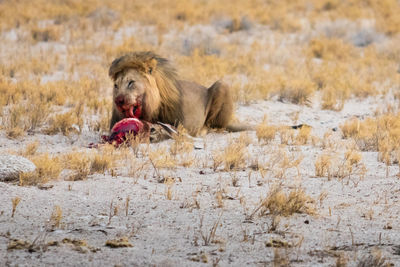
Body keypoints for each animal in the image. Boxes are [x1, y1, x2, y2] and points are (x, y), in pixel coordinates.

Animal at [108, 51, 250, 137]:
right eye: (116, 86)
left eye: (131, 83)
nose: (119, 100)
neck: (149, 109)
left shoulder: (178, 124)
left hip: (222, 84)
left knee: (216, 126)